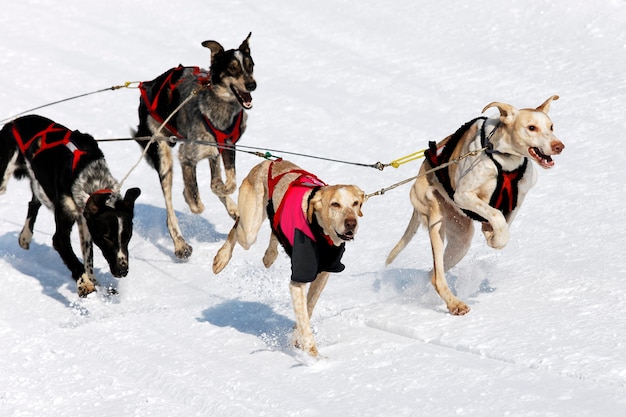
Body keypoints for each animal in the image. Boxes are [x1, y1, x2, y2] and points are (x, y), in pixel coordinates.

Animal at [0, 114, 141, 296]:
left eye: (127, 237)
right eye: (107, 237)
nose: (123, 271)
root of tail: (15, 121)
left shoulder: (84, 222)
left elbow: (88, 258)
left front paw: (95, 282)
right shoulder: (62, 232)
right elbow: (74, 260)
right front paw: (85, 284)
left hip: (39, 184)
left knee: (34, 202)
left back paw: (25, 236)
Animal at [135, 32, 255, 258]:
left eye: (250, 65)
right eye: (233, 68)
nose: (252, 85)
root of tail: (148, 85)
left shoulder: (226, 148)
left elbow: (227, 183)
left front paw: (223, 192)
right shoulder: (187, 156)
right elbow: (195, 197)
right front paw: (192, 200)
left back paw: (232, 207)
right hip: (163, 157)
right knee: (170, 210)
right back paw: (180, 243)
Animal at [212, 159, 364, 358]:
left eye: (355, 203)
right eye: (335, 204)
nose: (351, 223)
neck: (321, 232)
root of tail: (268, 162)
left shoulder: (324, 273)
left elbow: (308, 308)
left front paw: (297, 339)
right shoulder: (298, 280)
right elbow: (304, 318)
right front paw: (314, 356)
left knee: (273, 227)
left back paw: (269, 255)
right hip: (249, 231)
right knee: (237, 228)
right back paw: (221, 257)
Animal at [388, 96, 564, 314]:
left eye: (551, 126)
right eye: (531, 127)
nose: (559, 146)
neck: (504, 159)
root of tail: (417, 179)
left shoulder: (519, 198)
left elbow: (503, 222)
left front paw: (492, 236)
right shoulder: (463, 196)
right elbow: (496, 215)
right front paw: (495, 236)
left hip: (460, 241)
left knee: (433, 273)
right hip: (436, 217)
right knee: (438, 277)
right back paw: (455, 304)